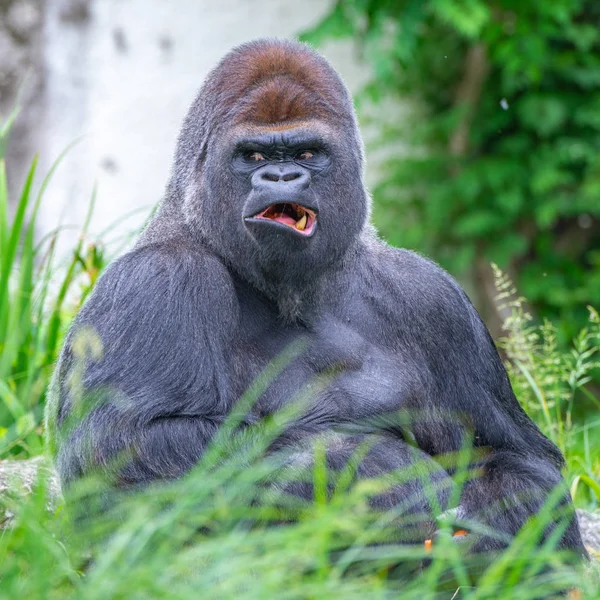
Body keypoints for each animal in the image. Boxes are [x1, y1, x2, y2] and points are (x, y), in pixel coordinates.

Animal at [45, 36, 584, 552]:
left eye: (306, 153)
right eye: (254, 156)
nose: (283, 177)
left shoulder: (436, 301)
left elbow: (517, 457)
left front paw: (501, 533)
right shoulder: (156, 281)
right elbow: (127, 451)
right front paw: (368, 469)